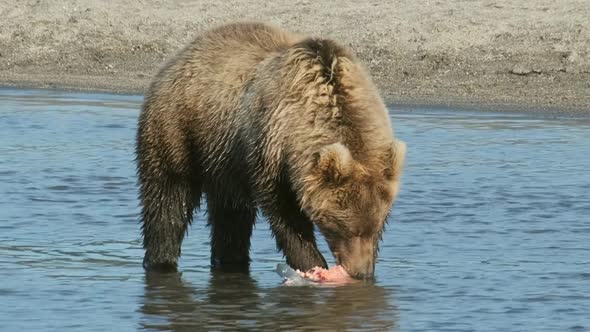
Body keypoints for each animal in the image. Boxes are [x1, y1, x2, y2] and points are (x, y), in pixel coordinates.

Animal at [136, 21, 408, 280]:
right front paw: (312, 262)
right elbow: (284, 215)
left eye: (377, 226)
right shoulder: (271, 149)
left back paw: (231, 259)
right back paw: (161, 261)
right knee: (168, 197)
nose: (361, 272)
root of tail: (181, 54)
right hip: (179, 128)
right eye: (340, 226)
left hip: (223, 159)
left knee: (230, 214)